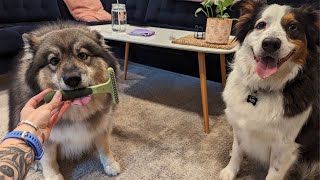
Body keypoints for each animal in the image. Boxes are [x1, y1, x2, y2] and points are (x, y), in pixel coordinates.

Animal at [9, 21, 121, 179]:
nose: (72, 79)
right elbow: (48, 160)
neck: (75, 113)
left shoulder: (102, 125)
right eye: (54, 60)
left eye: (82, 55)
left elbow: (104, 147)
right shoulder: (47, 138)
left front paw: (110, 164)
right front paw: (53, 176)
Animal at [221, 0, 318, 179]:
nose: (270, 43)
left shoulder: (285, 146)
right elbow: (237, 150)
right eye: (261, 25)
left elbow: (274, 173)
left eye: (293, 27)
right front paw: (230, 171)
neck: (263, 87)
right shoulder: (239, 125)